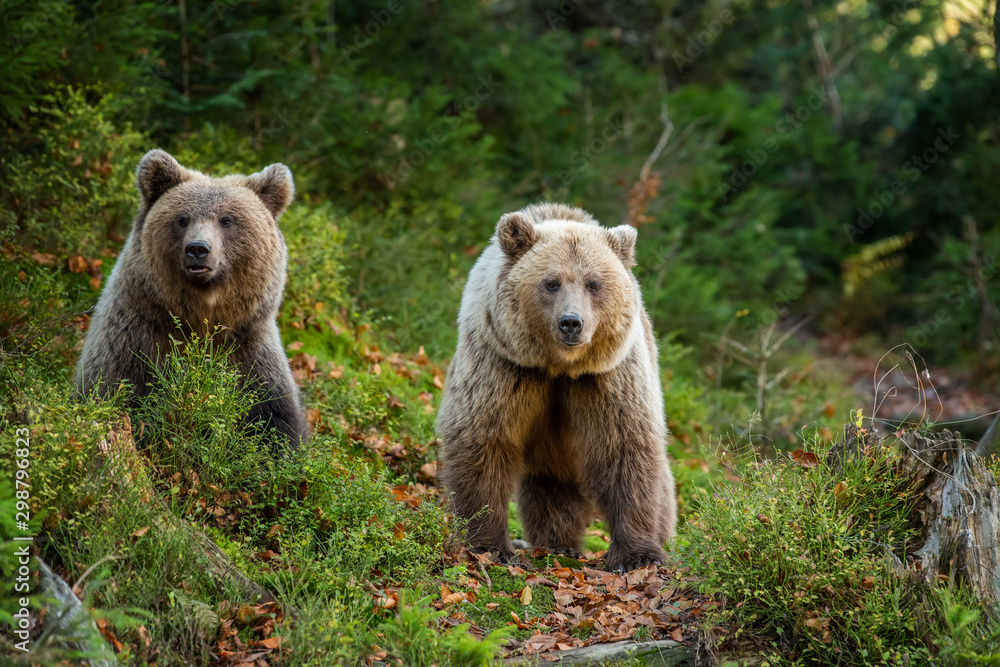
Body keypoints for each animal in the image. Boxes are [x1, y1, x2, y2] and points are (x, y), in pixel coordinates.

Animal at [74, 149, 308, 447]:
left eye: (226, 220)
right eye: (183, 218)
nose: (198, 249)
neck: (202, 314)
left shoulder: (250, 352)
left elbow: (274, 421)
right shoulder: (133, 343)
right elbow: (116, 391)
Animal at [437, 202, 677, 573]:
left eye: (594, 284)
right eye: (551, 283)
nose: (571, 323)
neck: (559, 366)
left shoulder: (607, 378)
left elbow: (625, 450)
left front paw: (637, 555)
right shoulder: (503, 366)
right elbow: (483, 442)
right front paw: (489, 546)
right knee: (551, 491)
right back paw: (558, 544)